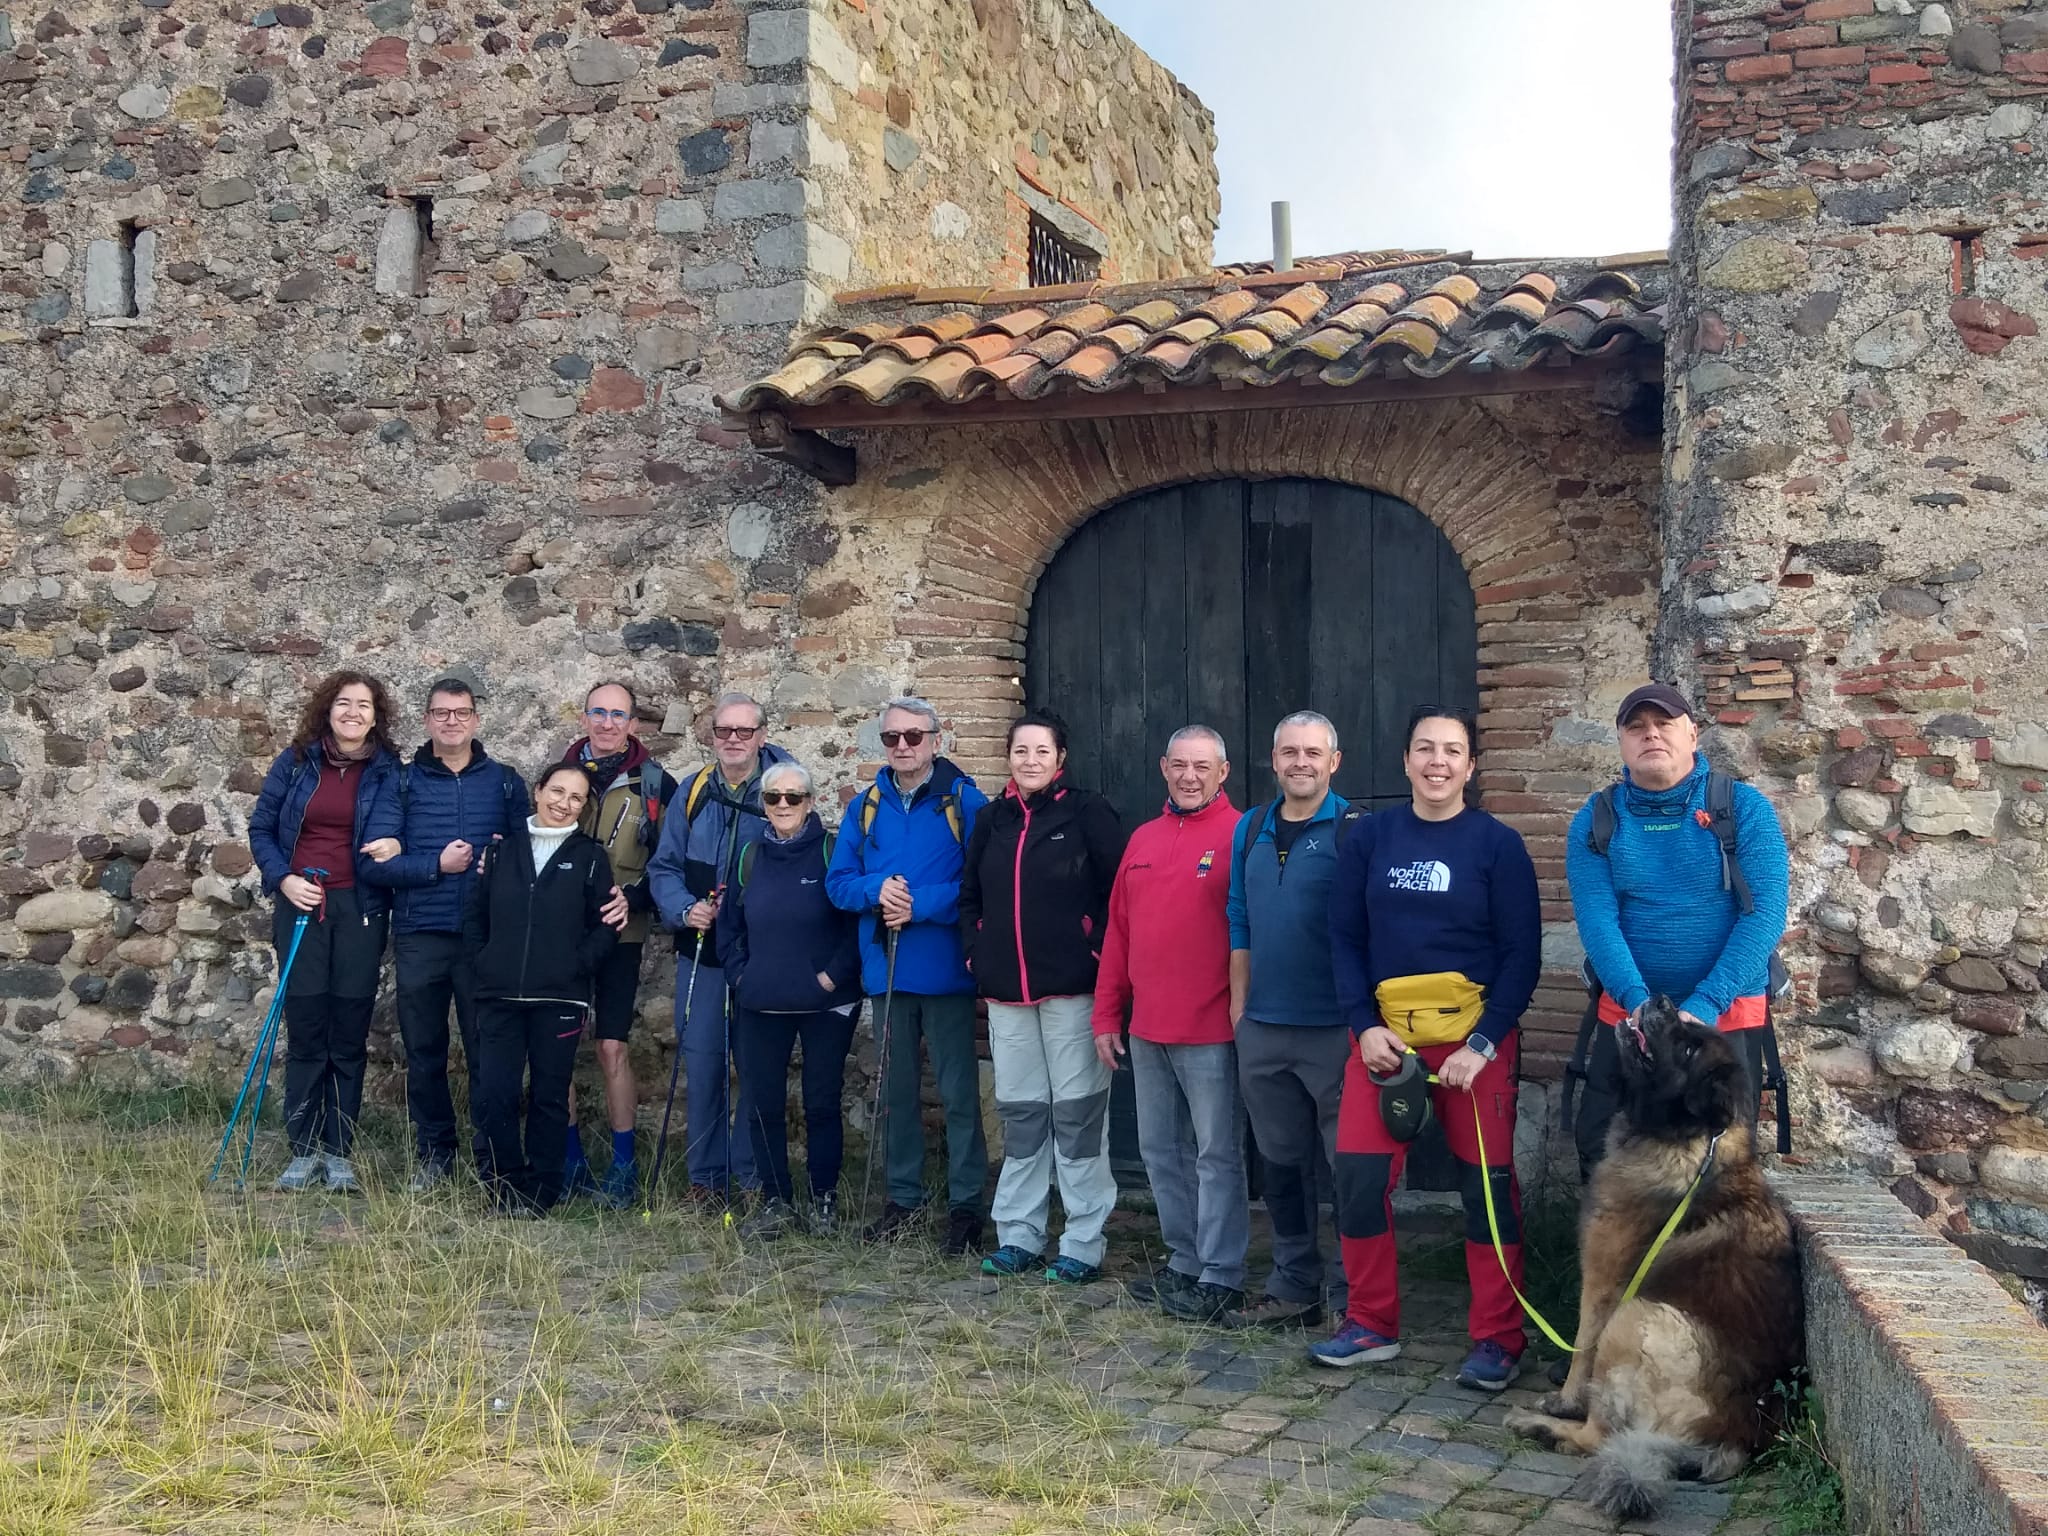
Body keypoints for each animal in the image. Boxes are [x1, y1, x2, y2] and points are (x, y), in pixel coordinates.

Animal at [1507, 1003, 1810, 1523]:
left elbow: (1582, 1351)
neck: (1690, 1142)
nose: (1664, 1001)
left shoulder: (1603, 1284)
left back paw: (1541, 1427)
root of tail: (1734, 1436)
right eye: (1687, 1030)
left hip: (1637, 1316)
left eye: (1687, 1050)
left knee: (1599, 1436)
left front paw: (1564, 1402)